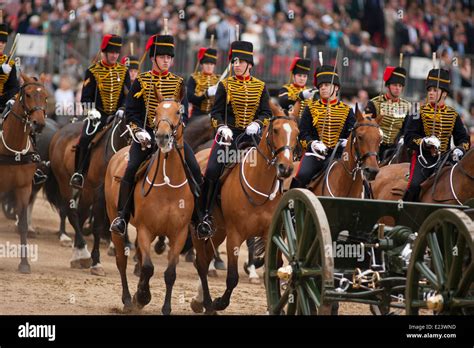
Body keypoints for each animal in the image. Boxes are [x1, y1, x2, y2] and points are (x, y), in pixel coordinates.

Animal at [45, 105, 130, 274]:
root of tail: (61, 131)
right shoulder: (98, 192)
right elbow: (97, 225)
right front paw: (96, 262)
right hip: (66, 183)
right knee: (72, 213)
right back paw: (82, 253)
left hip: (85, 192)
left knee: (81, 214)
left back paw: (78, 251)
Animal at [104, 88, 193, 314]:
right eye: (157, 111)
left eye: (178, 112)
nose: (161, 136)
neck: (169, 185)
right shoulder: (145, 229)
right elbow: (148, 267)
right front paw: (142, 296)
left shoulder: (179, 234)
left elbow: (170, 273)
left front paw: (166, 307)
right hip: (115, 222)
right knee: (122, 261)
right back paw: (128, 299)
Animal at [191, 102, 298, 314]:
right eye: (275, 130)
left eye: (297, 133)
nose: (286, 168)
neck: (259, 185)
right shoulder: (235, 235)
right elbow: (232, 278)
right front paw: (219, 302)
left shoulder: (270, 234)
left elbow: (272, 271)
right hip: (199, 229)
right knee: (201, 263)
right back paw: (207, 302)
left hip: (219, 230)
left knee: (206, 259)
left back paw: (201, 301)